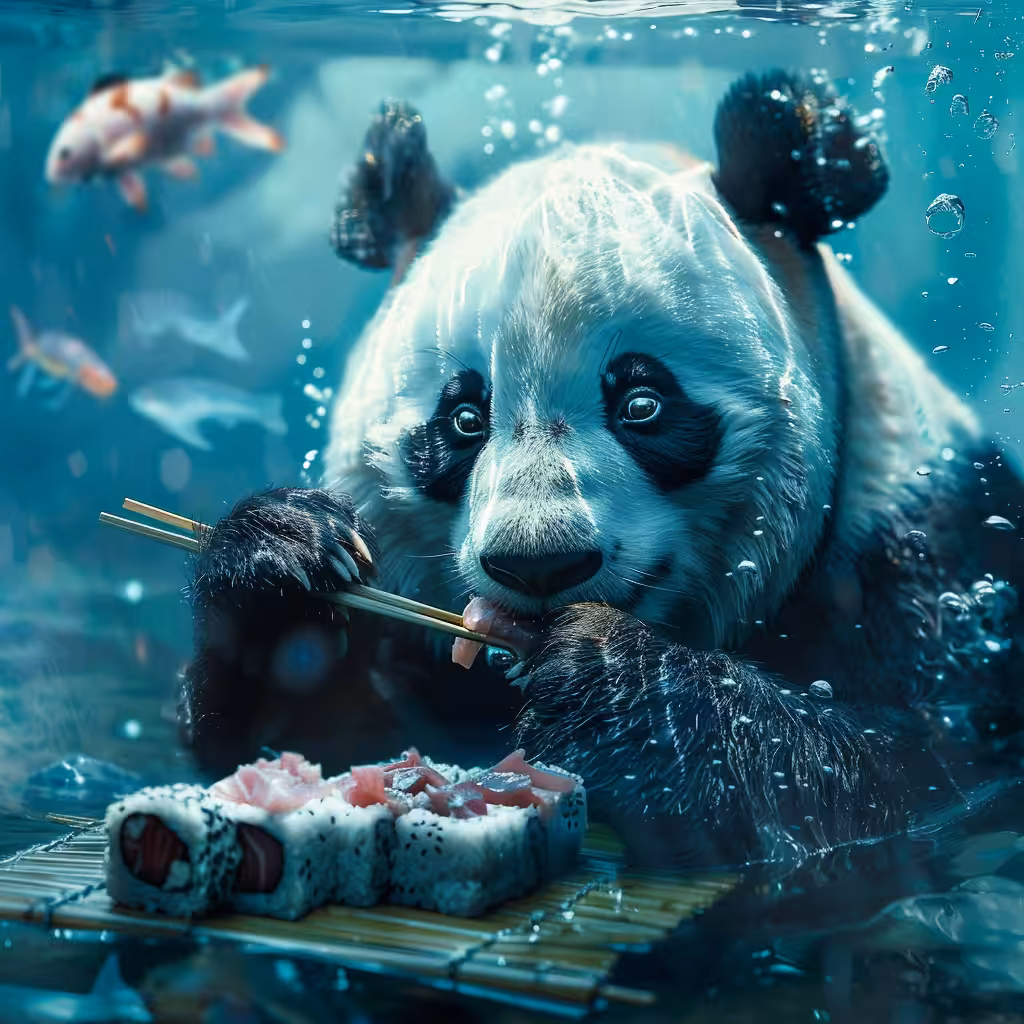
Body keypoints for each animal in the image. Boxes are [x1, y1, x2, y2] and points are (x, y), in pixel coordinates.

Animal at [178, 70, 1024, 868]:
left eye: (642, 403)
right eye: (464, 418)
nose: (539, 565)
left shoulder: (924, 566)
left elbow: (912, 777)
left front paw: (614, 682)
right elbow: (319, 737)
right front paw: (283, 563)